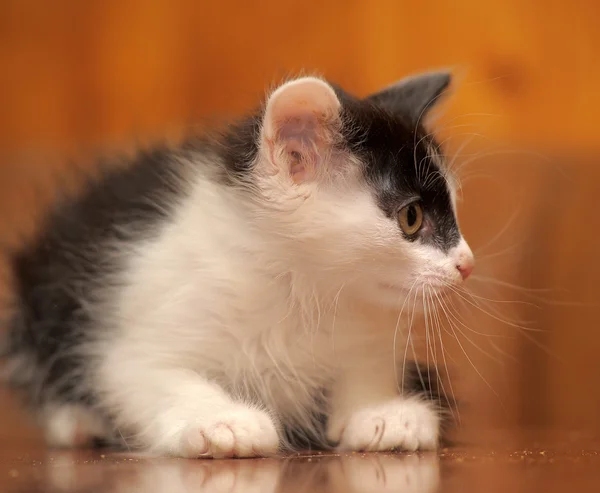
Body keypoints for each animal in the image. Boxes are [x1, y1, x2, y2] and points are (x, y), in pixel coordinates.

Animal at [2, 70, 476, 458]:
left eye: (455, 209)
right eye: (412, 217)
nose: (467, 264)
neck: (302, 291)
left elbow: (366, 369)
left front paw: (384, 412)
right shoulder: (132, 338)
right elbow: (152, 375)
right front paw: (222, 421)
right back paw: (76, 422)